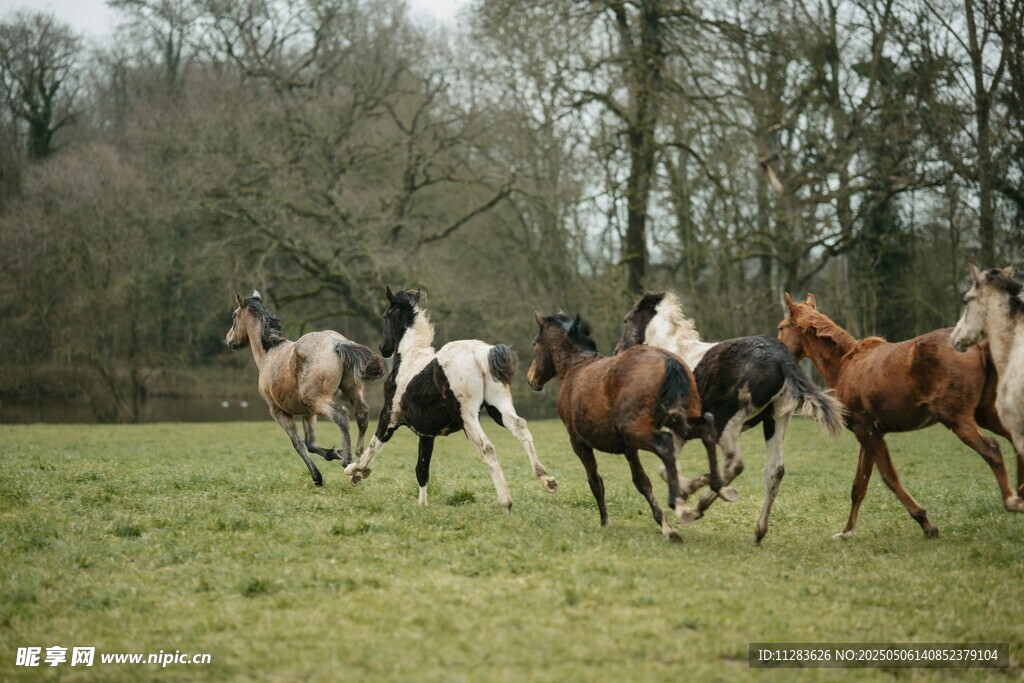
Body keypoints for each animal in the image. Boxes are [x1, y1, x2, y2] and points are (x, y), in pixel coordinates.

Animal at [225, 290, 385, 486]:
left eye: (234, 316)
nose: (229, 340)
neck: (269, 353)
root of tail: (336, 343)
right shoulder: (307, 413)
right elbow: (311, 443)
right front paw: (334, 453)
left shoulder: (278, 412)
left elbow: (299, 444)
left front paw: (317, 476)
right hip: (350, 390)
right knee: (362, 413)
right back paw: (359, 459)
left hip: (318, 401)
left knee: (341, 415)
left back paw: (349, 462)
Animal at [344, 288, 557, 511]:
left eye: (386, 315)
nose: (383, 348)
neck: (410, 359)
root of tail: (481, 354)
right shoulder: (426, 434)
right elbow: (422, 470)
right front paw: (422, 506)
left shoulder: (389, 418)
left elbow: (373, 447)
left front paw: (354, 472)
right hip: (498, 407)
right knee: (520, 427)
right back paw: (546, 480)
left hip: (467, 417)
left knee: (487, 447)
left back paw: (506, 502)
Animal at [527, 310, 736, 541]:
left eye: (536, 343)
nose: (532, 379)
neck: (574, 366)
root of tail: (669, 361)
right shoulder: (628, 448)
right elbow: (642, 482)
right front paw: (665, 526)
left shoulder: (579, 443)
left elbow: (596, 482)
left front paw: (606, 522)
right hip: (679, 421)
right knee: (707, 430)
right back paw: (718, 486)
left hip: (638, 430)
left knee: (666, 444)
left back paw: (680, 502)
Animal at [616, 292, 845, 545]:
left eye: (626, 320)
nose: (617, 352)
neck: (674, 350)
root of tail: (782, 359)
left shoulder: (679, 430)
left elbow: (664, 470)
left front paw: (686, 492)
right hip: (777, 419)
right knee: (774, 470)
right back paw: (758, 531)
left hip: (727, 421)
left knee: (735, 464)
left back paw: (699, 506)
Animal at [778, 293, 1024, 538]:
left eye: (781, 328)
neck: (844, 365)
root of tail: (979, 347)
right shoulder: (869, 433)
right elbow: (859, 485)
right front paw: (847, 532)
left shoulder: (866, 431)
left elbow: (888, 477)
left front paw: (926, 523)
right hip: (986, 414)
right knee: (1015, 440)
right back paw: (1020, 495)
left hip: (956, 418)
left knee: (992, 449)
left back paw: (1012, 501)